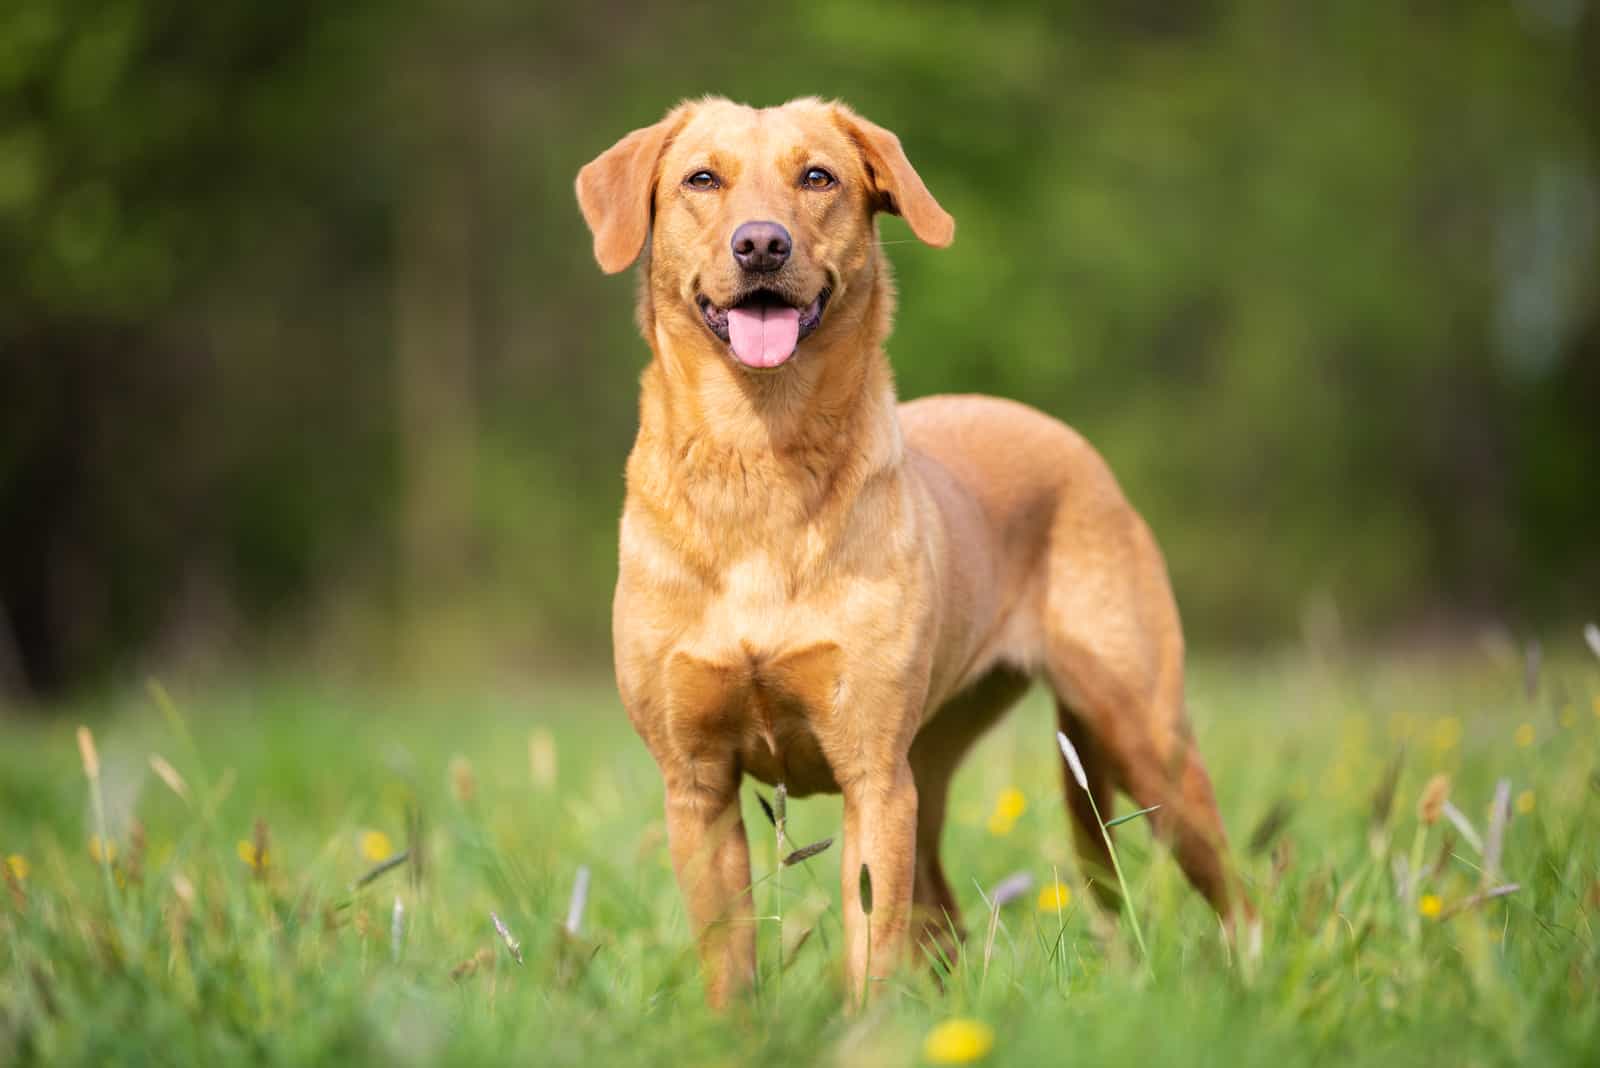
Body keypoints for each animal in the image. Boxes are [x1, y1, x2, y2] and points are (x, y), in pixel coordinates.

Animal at [579, 95, 1248, 1004]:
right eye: (702, 179)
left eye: (817, 176)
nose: (761, 244)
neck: (759, 452)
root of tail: (1075, 447)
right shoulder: (697, 785)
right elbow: (731, 961)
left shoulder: (872, 776)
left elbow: (870, 943)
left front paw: (863, 1026)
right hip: (934, 764)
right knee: (946, 920)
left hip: (1141, 735)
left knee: (1240, 889)